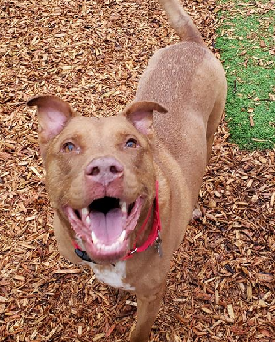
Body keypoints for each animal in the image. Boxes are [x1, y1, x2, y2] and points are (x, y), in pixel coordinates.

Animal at [27, 0, 226, 342]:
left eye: (131, 143)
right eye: (69, 146)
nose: (105, 168)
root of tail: (193, 44)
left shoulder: (152, 295)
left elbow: (139, 331)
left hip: (212, 127)